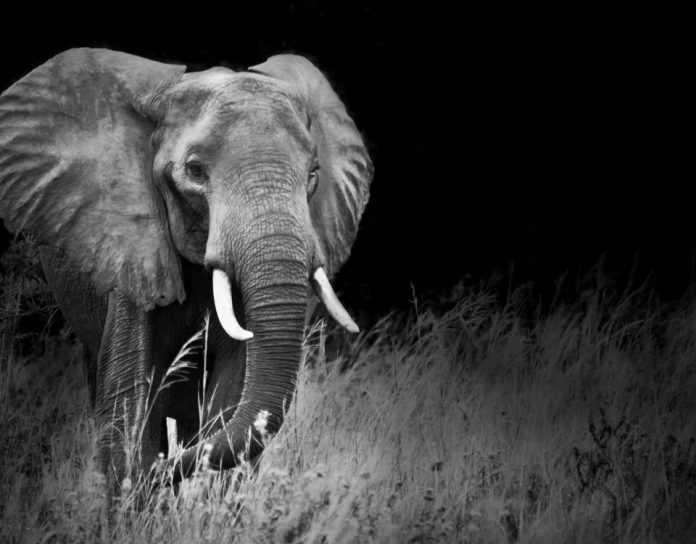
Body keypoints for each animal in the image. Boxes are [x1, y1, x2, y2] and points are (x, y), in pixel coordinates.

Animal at [0, 48, 372, 485]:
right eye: (194, 171)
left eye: (313, 173)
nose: (164, 471)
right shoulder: (130, 250)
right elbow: (127, 395)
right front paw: (139, 482)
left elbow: (230, 394)